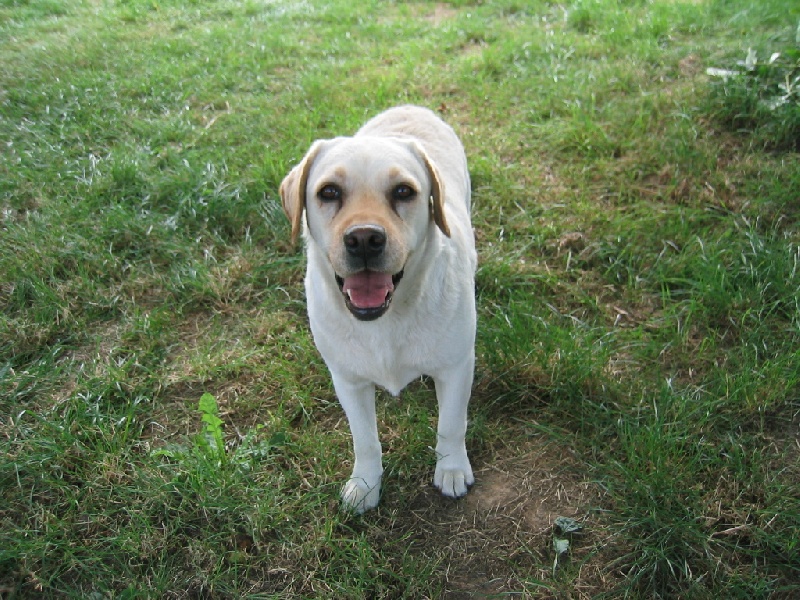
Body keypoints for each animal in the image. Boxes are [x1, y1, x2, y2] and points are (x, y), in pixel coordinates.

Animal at [282, 106, 476, 510]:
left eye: (403, 191)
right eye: (329, 192)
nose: (364, 239)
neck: (385, 320)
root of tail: (408, 106)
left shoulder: (456, 366)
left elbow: (451, 424)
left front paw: (451, 468)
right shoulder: (347, 380)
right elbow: (365, 440)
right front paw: (366, 484)